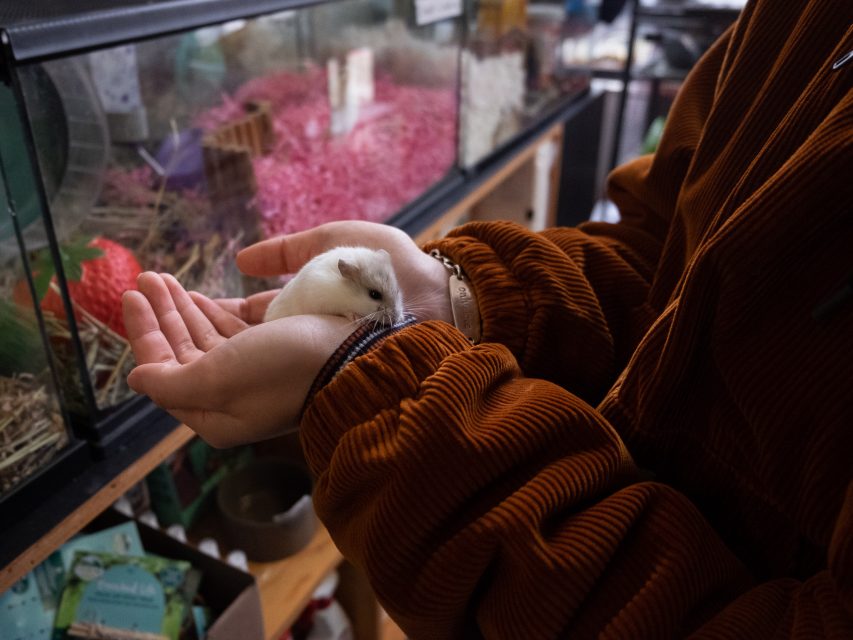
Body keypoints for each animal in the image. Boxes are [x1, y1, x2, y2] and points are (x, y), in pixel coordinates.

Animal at [263, 246, 404, 325]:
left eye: (397, 290)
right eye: (374, 294)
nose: (396, 319)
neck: (345, 291)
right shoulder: (326, 302)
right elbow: (345, 311)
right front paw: (357, 318)